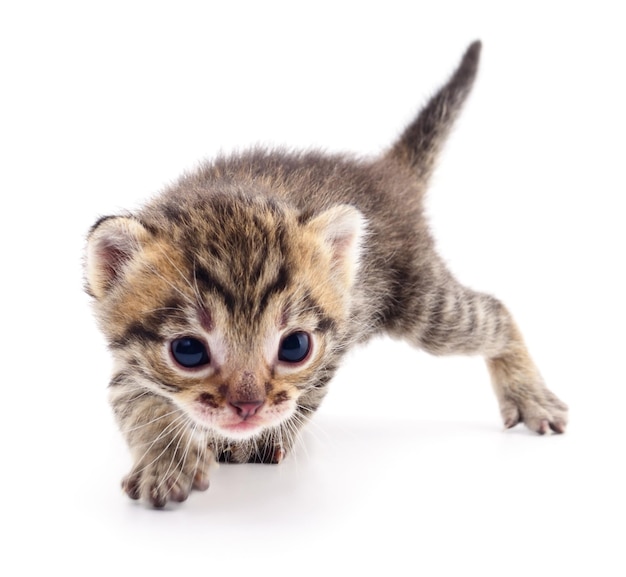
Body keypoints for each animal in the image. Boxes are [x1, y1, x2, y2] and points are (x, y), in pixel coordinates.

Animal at [84, 41, 564, 508]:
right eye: (188, 351)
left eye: (294, 346)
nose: (248, 408)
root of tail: (383, 174)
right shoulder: (127, 367)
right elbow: (139, 406)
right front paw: (165, 462)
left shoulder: (337, 339)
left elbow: (306, 394)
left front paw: (262, 439)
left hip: (424, 304)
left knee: (493, 311)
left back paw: (529, 394)